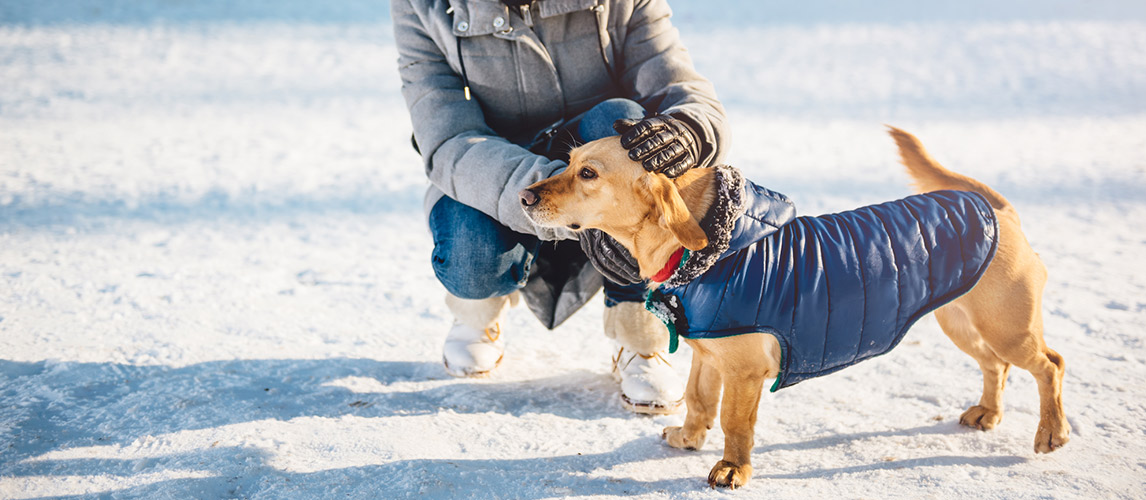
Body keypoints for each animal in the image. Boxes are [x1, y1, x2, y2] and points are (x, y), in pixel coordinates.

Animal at [517, 126, 1063, 488]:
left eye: (588, 173)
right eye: (569, 161)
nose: (523, 196)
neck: (712, 246)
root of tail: (994, 206)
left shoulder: (743, 372)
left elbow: (735, 424)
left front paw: (732, 469)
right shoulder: (708, 356)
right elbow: (698, 401)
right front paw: (690, 439)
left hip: (1008, 328)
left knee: (1050, 366)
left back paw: (1052, 433)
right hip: (964, 325)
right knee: (996, 368)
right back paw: (988, 413)